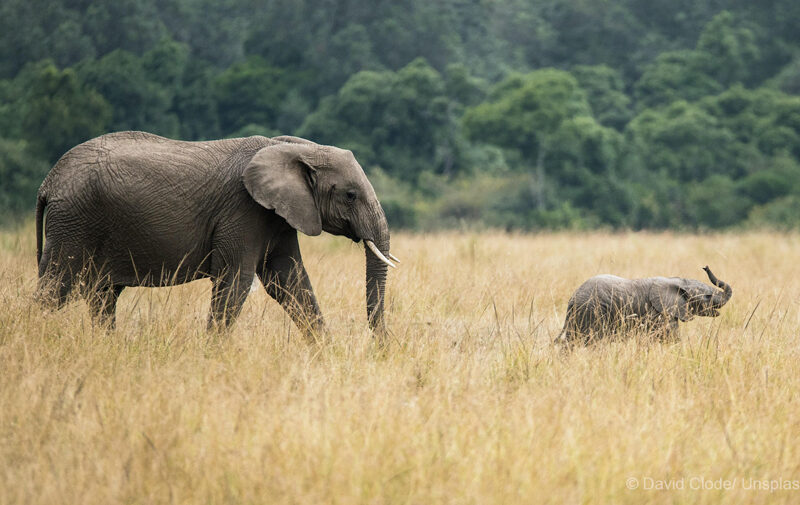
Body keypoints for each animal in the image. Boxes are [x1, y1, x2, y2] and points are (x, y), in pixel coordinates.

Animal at [34, 132, 396, 332]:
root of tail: (48, 182)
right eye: (350, 195)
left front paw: (326, 356)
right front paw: (212, 355)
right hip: (75, 223)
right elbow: (235, 282)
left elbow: (289, 282)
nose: (378, 350)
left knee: (103, 296)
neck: (292, 147)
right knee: (55, 288)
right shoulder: (243, 210)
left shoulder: (277, 216)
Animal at [556, 266, 732, 344]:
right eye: (708, 296)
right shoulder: (659, 314)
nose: (705, 267)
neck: (678, 281)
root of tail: (572, 299)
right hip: (592, 312)